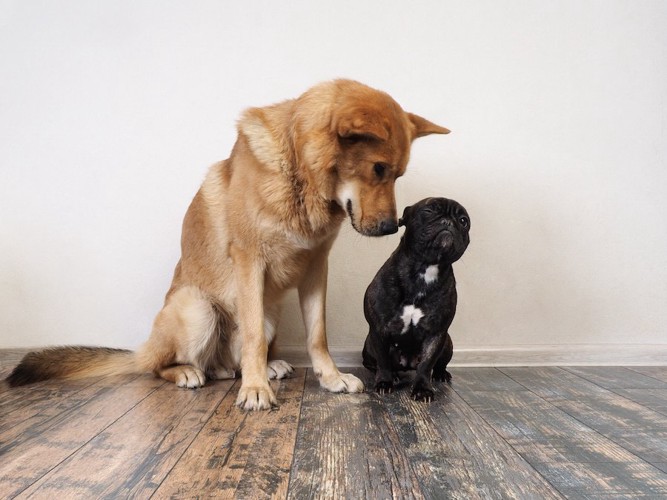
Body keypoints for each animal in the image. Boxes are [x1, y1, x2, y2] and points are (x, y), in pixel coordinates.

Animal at [6, 80, 448, 410]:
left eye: (398, 174)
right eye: (378, 169)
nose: (393, 226)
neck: (297, 171)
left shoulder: (316, 269)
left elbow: (316, 335)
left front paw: (331, 378)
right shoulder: (249, 264)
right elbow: (251, 337)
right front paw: (254, 390)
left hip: (268, 313)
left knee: (230, 363)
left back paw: (262, 368)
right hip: (198, 308)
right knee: (162, 365)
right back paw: (193, 372)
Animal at [366, 197, 470, 400]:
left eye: (463, 221)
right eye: (428, 211)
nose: (448, 221)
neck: (425, 268)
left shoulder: (436, 333)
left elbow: (426, 365)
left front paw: (422, 389)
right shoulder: (379, 330)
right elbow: (383, 361)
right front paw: (384, 382)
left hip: (447, 343)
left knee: (438, 365)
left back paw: (441, 375)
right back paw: (393, 376)